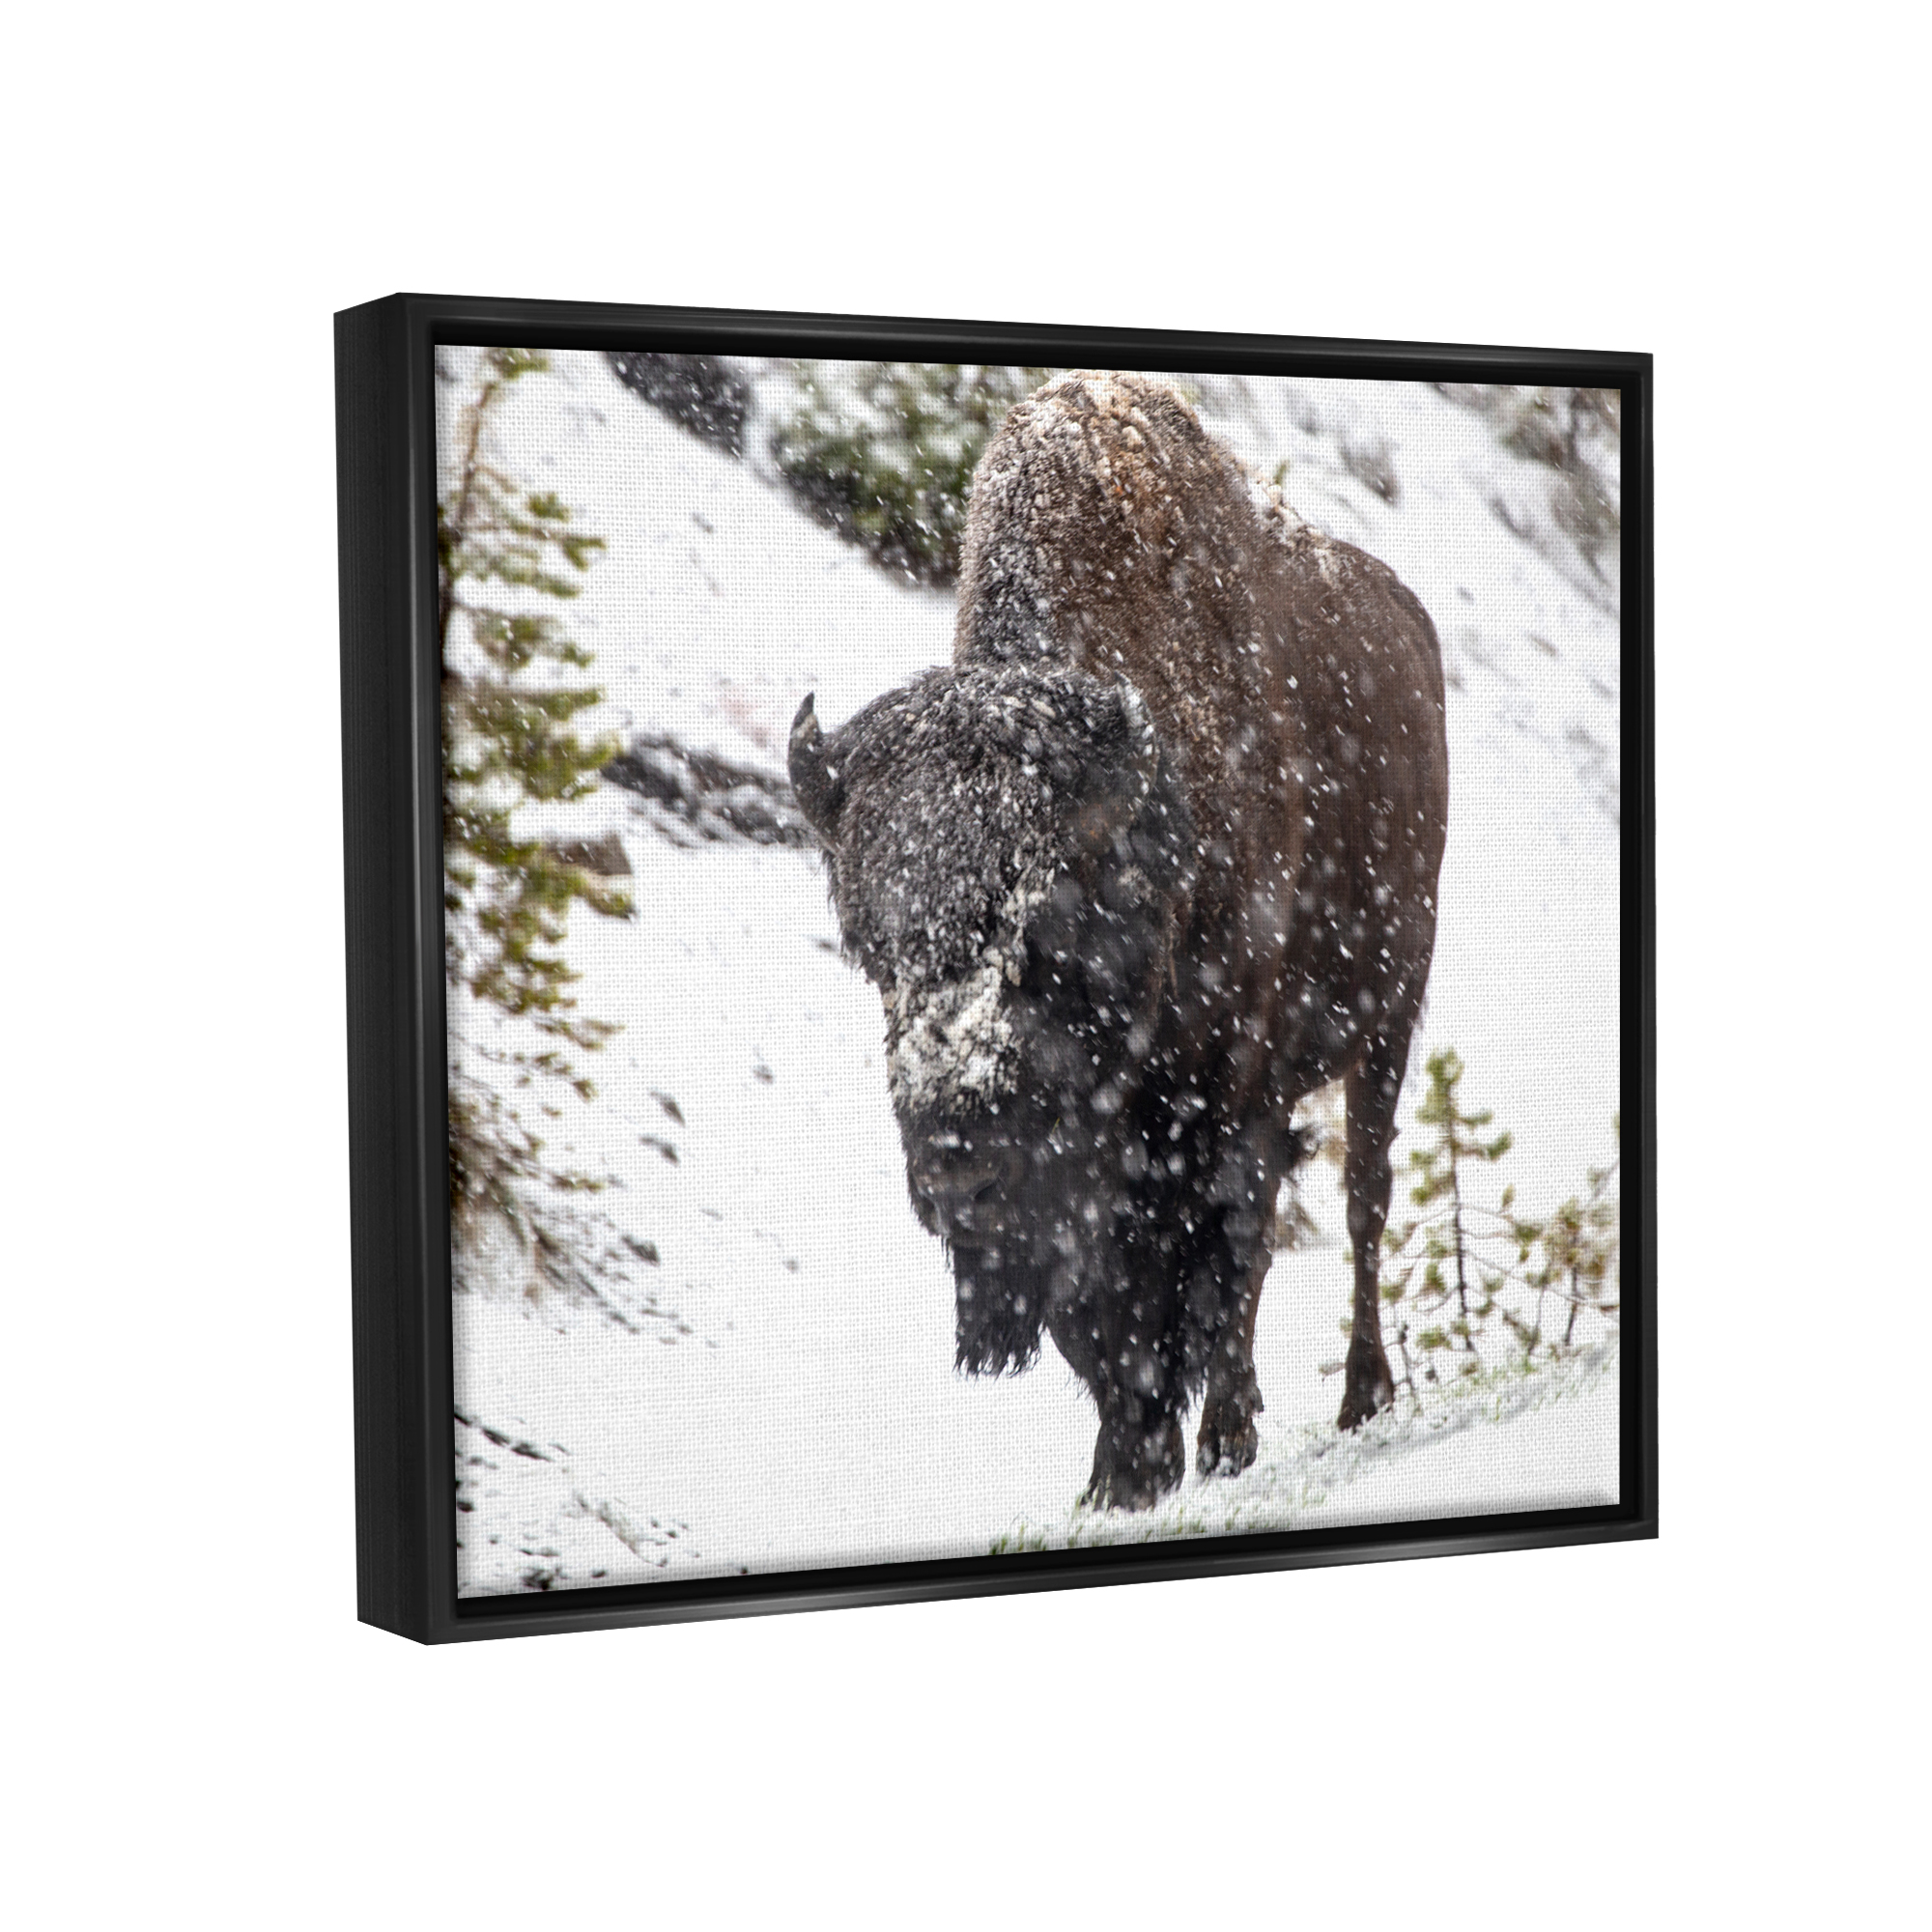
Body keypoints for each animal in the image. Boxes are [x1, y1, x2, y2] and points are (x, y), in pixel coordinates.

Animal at [789, 371, 1449, 1508]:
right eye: (868, 949)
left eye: (1043, 933)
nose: (956, 1174)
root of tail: (1408, 625)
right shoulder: (1088, 1179)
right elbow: (1101, 1320)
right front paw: (1120, 1474)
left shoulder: (1224, 1106)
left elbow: (1213, 1263)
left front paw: (1199, 1449)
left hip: (1387, 1018)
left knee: (1360, 1204)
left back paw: (1360, 1398)